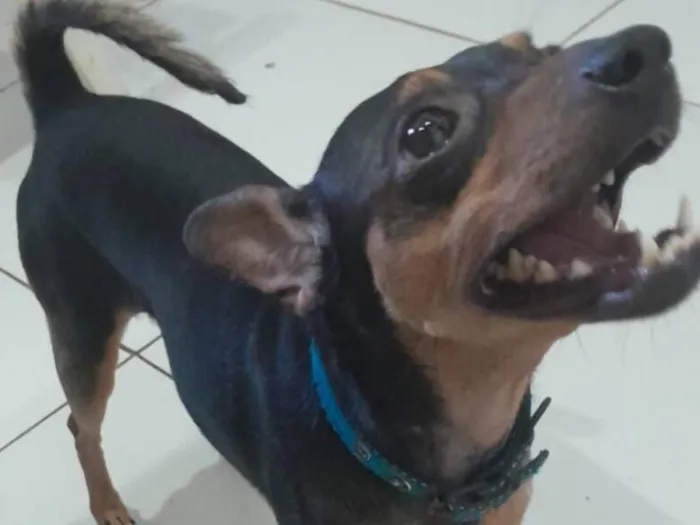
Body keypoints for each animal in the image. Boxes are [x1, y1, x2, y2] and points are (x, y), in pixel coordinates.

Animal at [14, 1, 700, 524]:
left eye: (543, 52)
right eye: (425, 133)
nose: (644, 47)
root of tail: (65, 105)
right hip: (82, 334)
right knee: (81, 426)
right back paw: (107, 504)